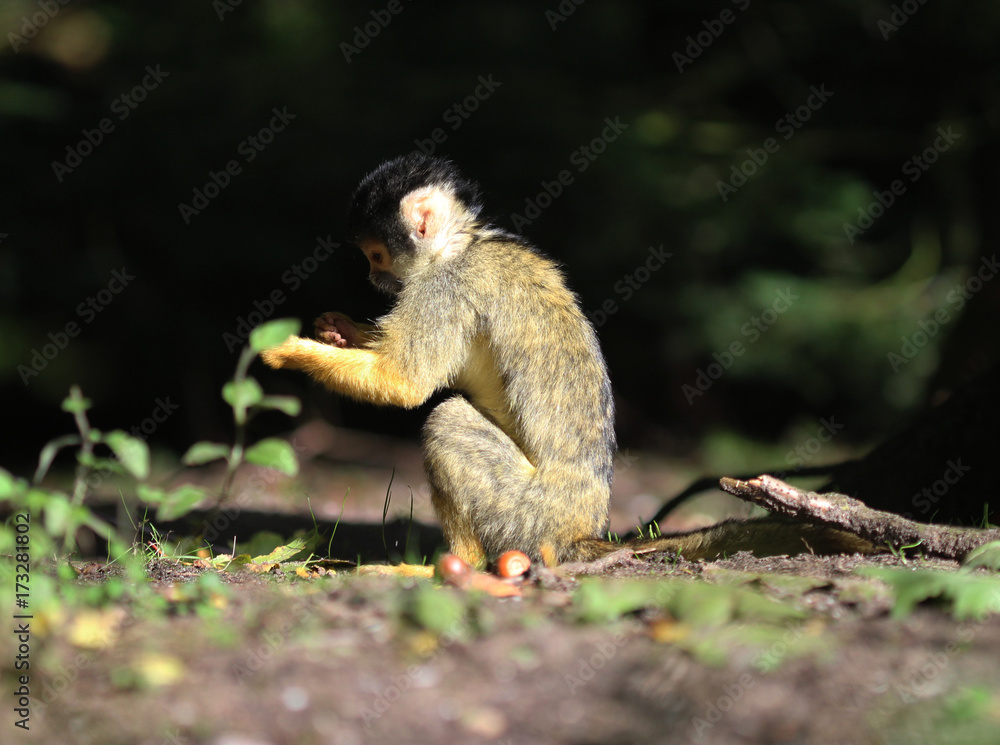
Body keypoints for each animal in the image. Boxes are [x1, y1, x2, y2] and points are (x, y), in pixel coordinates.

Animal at [261, 153, 873, 572]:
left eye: (377, 256)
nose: (372, 279)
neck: (464, 245)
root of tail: (584, 529)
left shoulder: (447, 287)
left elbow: (407, 384)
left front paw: (287, 350)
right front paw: (336, 327)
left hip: (531, 514)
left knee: (446, 419)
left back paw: (460, 565)